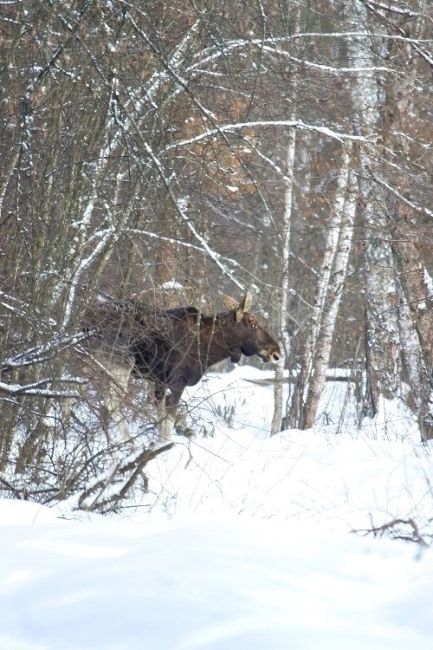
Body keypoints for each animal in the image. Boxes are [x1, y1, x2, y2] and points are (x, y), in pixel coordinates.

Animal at [85, 292, 280, 438]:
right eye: (254, 323)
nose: (276, 352)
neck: (209, 350)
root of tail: (87, 318)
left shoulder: (159, 382)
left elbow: (161, 419)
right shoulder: (177, 382)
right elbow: (168, 425)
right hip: (119, 362)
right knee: (112, 402)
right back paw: (127, 441)